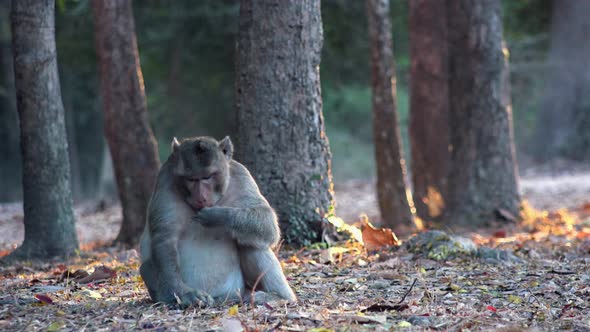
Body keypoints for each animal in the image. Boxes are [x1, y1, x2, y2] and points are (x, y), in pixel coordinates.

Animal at [141, 135, 298, 306]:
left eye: (208, 177)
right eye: (190, 179)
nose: (201, 197)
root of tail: (221, 297)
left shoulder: (241, 174)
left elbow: (267, 221)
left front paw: (218, 216)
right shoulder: (164, 180)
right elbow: (165, 239)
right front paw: (184, 294)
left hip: (239, 289)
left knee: (251, 242)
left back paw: (279, 296)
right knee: (146, 265)